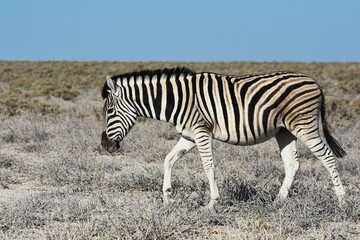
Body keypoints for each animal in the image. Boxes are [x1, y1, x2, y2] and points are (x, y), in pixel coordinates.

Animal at [100, 66, 346, 209]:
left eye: (109, 111)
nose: (105, 146)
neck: (177, 100)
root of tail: (314, 82)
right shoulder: (189, 136)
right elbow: (168, 160)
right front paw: (168, 197)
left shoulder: (201, 132)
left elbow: (208, 166)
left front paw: (212, 203)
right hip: (284, 130)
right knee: (292, 163)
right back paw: (278, 201)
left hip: (304, 125)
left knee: (327, 157)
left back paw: (342, 201)